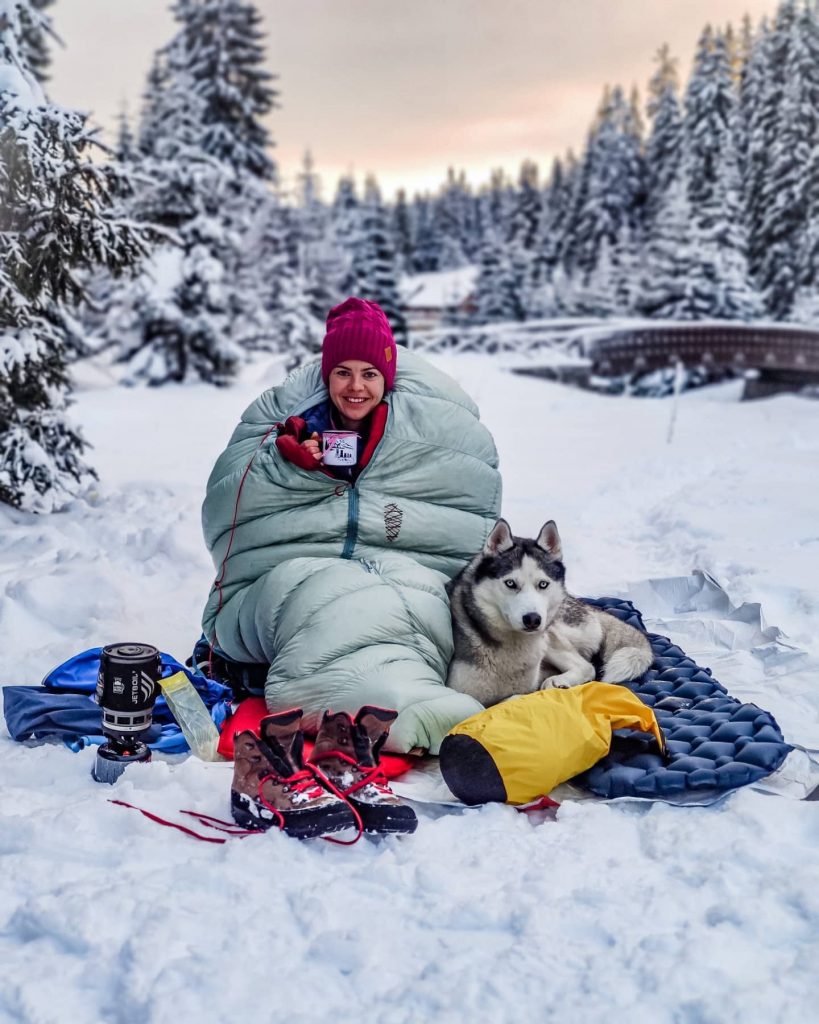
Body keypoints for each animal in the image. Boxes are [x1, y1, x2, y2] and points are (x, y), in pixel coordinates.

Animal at [444, 520, 655, 704]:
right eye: (510, 583)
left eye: (543, 584)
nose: (532, 619)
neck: (512, 647)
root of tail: (584, 604)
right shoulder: (460, 695)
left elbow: (509, 699)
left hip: (552, 635)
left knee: (587, 666)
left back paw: (558, 681)